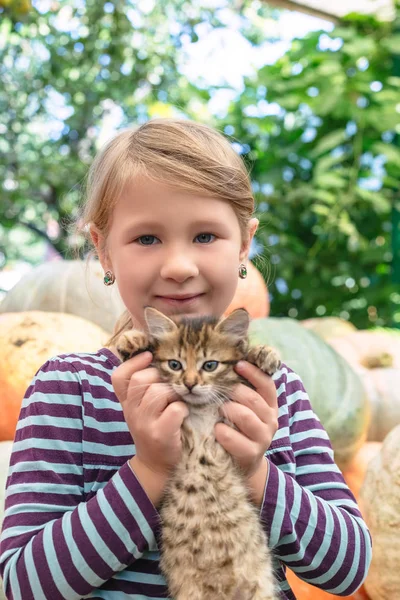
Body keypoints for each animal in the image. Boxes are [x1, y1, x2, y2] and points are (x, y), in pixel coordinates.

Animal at [117, 308, 282, 596]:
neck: (201, 409)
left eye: (210, 365)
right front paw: (134, 341)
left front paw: (264, 354)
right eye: (175, 365)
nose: (190, 384)